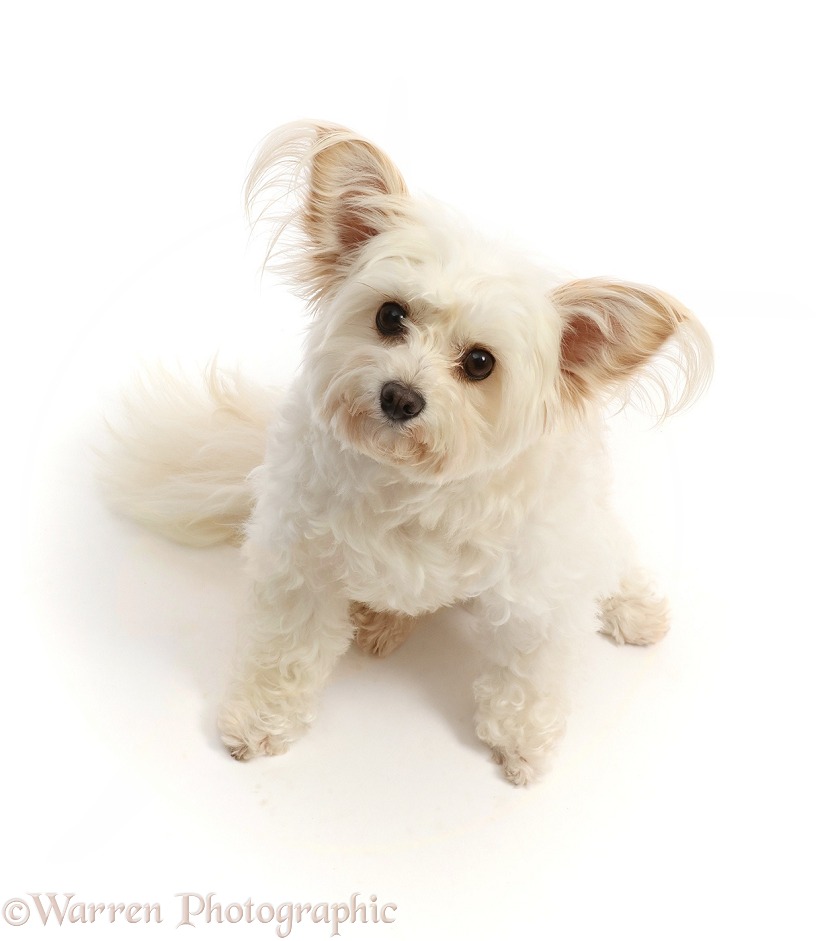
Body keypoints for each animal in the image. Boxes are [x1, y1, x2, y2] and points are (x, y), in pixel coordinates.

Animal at [104, 121, 716, 784]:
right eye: (390, 315)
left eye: (480, 362)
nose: (400, 396)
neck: (410, 486)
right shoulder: (300, 567)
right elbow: (285, 654)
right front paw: (262, 719)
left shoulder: (536, 597)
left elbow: (527, 677)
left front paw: (522, 742)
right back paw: (383, 620)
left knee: (613, 552)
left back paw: (632, 607)